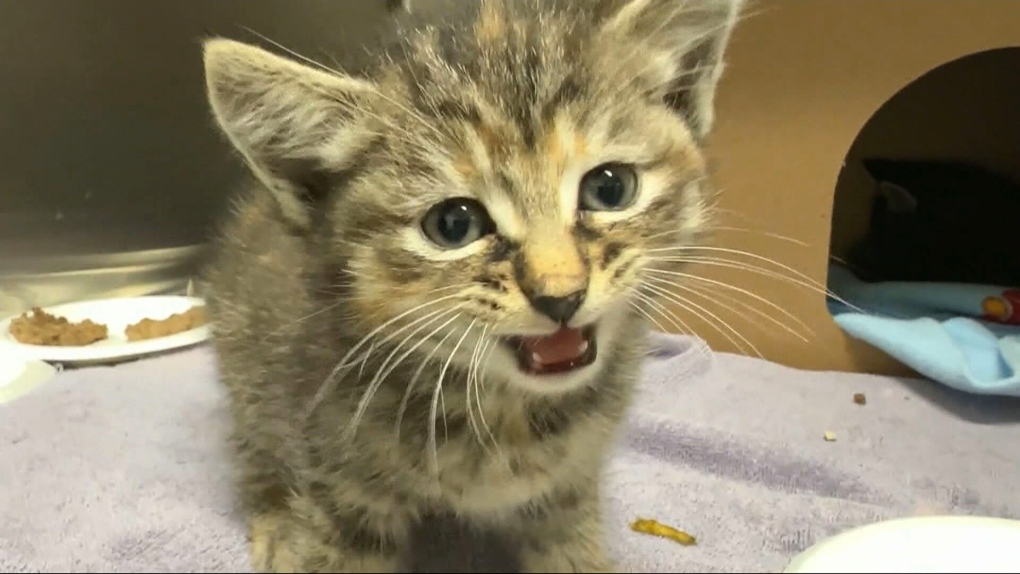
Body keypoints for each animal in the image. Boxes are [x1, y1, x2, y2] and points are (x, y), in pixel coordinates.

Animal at [198, 0, 742, 570]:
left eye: (610, 188)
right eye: (453, 225)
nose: (561, 296)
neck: (504, 411)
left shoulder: (569, 481)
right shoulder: (336, 479)